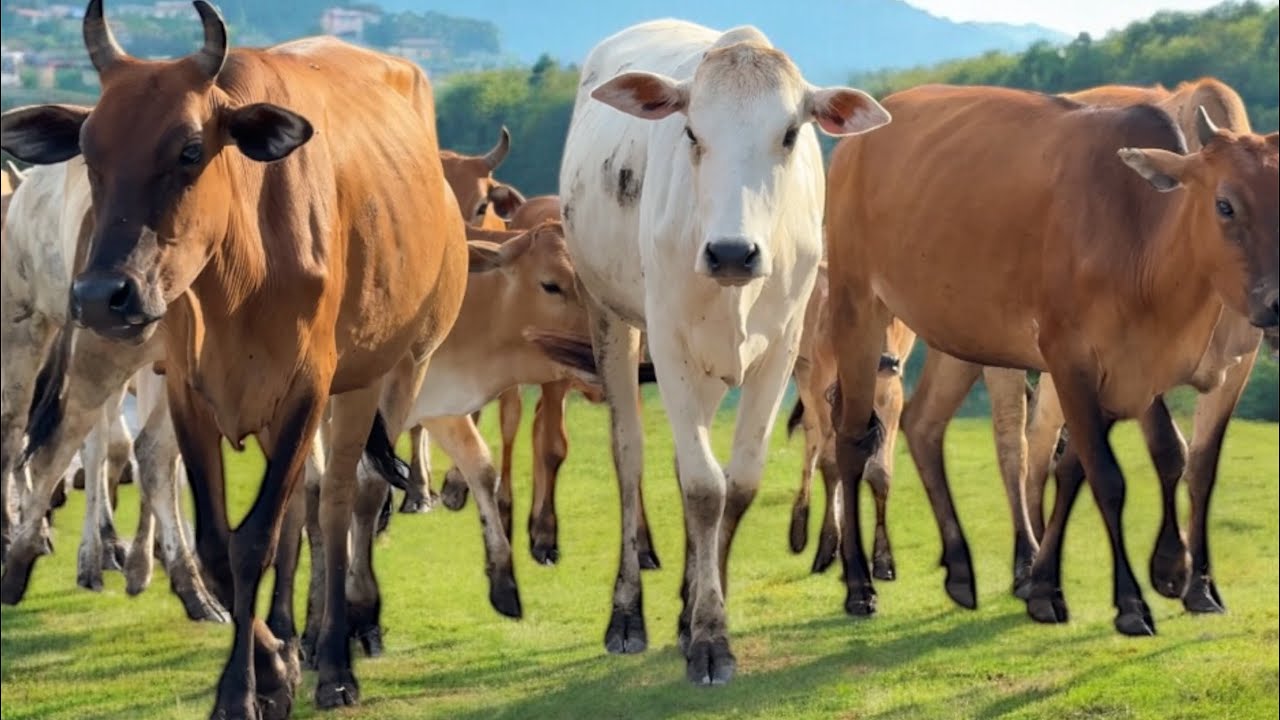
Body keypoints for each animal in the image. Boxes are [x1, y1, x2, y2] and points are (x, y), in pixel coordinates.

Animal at [0, 3, 469, 717]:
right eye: (90, 149)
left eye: (191, 150)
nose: (102, 295)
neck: (242, 269)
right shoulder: (190, 392)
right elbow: (220, 542)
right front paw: (269, 668)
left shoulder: (305, 389)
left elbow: (258, 538)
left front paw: (264, 679)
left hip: (394, 368)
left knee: (346, 500)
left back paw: (340, 647)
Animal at [559, 20, 890, 684]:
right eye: (692, 130)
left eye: (789, 133)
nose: (733, 253)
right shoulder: (669, 344)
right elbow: (703, 487)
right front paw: (710, 637)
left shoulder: (782, 351)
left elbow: (736, 484)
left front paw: (703, 615)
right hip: (608, 313)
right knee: (631, 456)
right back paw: (627, 616)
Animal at [823, 83, 1277, 637]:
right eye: (1225, 205)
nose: (1276, 303)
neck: (1138, 234)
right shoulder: (1070, 359)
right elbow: (1110, 477)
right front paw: (1132, 601)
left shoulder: (1134, 376)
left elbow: (1107, 467)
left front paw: (1053, 587)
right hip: (857, 307)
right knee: (853, 439)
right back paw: (859, 585)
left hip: (960, 334)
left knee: (924, 423)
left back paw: (961, 570)